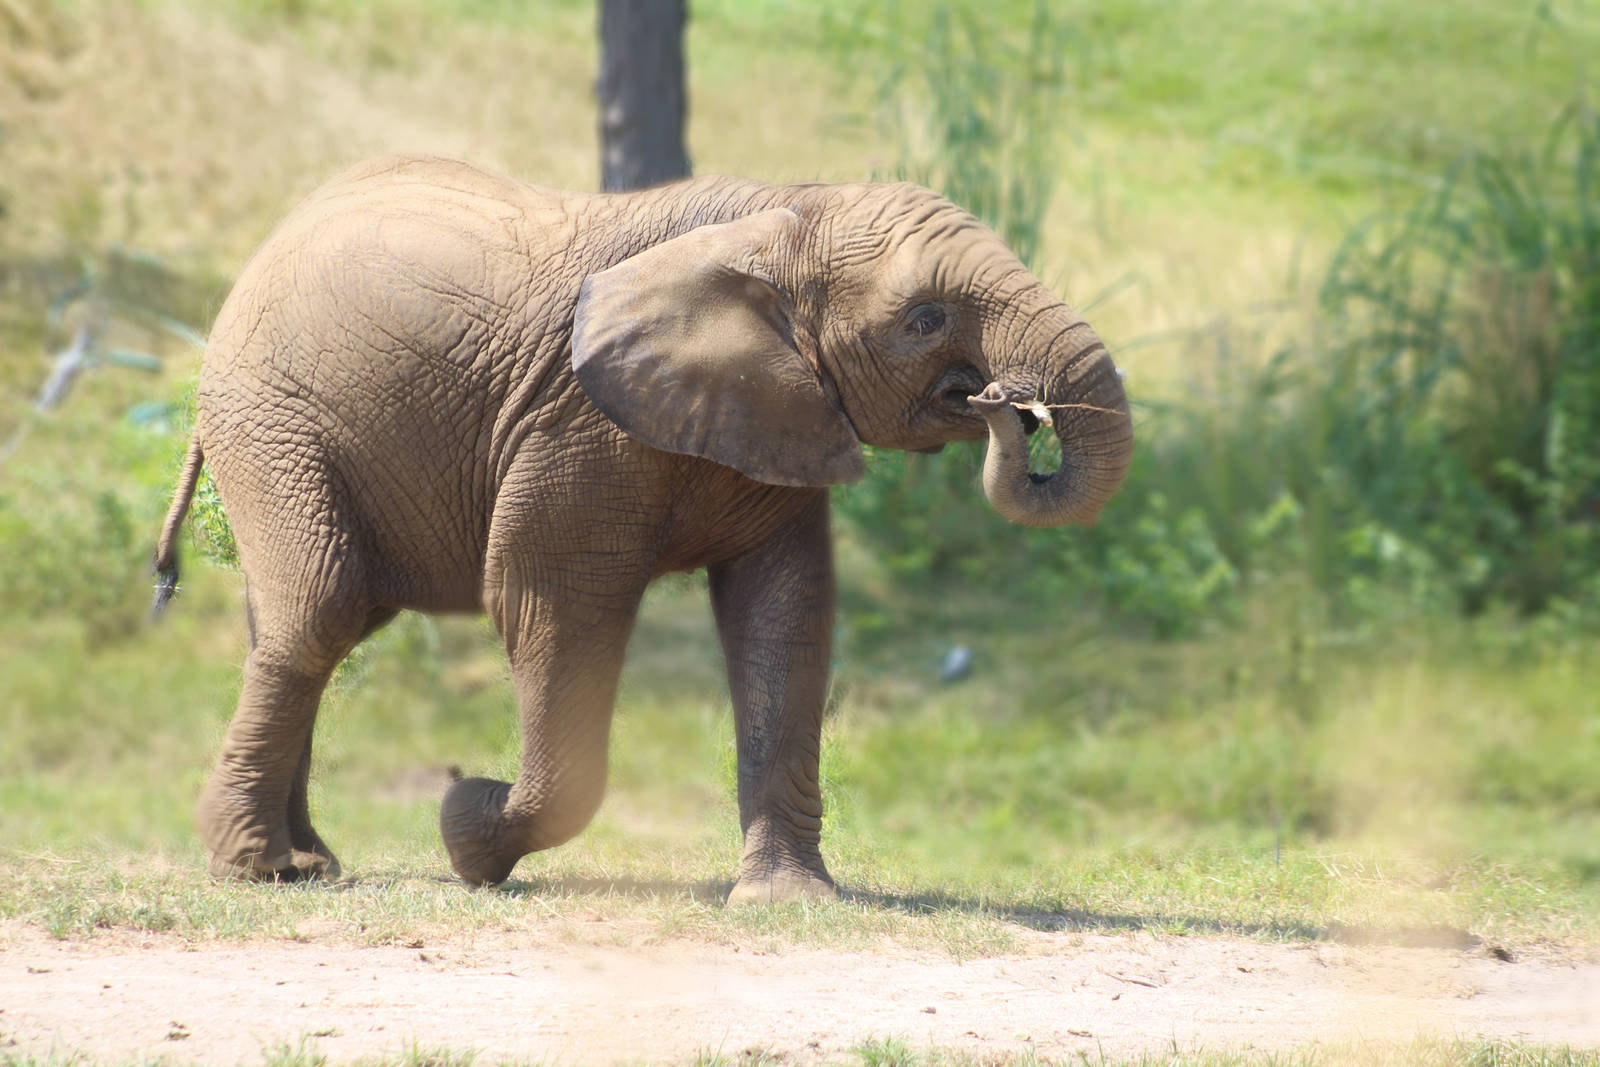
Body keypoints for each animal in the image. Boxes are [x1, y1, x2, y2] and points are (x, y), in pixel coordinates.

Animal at [151, 154, 1132, 903]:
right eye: (926, 320)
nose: (1006, 404)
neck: (780, 214)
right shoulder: (575, 422)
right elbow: (548, 602)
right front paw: (466, 827)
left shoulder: (776, 413)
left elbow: (786, 617)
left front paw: (787, 901)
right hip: (271, 420)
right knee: (323, 606)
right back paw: (265, 868)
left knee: (302, 623)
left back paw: (305, 861)